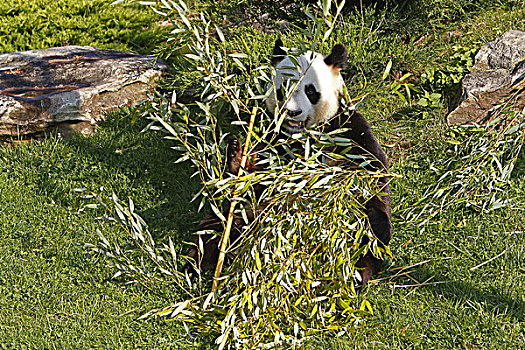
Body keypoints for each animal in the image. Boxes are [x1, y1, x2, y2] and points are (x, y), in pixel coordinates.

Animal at [186, 39, 390, 288]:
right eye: (283, 89)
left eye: (310, 90)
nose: (292, 112)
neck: (303, 135)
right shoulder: (276, 141)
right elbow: (256, 180)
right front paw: (237, 155)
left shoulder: (347, 131)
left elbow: (367, 172)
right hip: (245, 218)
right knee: (217, 227)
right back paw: (197, 264)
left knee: (370, 234)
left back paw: (354, 275)